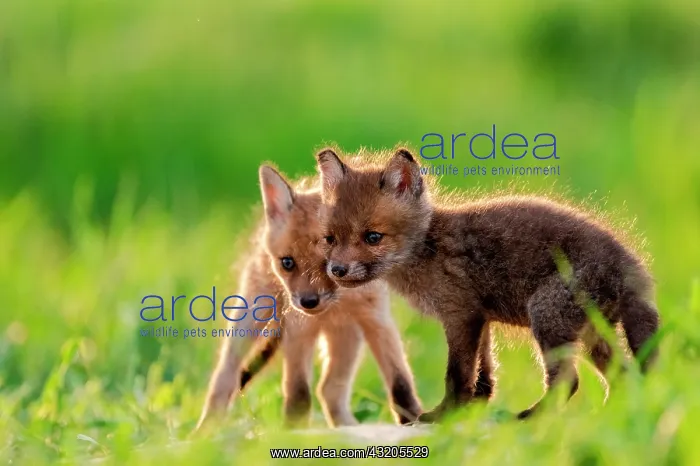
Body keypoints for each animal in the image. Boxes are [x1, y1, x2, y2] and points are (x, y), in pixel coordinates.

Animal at [196, 165, 422, 430]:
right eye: (287, 263)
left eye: (328, 264)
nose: (308, 302)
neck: (340, 302)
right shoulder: (298, 328)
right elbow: (299, 394)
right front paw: (291, 430)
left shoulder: (377, 320)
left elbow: (401, 384)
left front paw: (415, 420)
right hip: (250, 320)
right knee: (225, 378)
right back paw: (204, 430)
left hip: (347, 337)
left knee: (329, 389)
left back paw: (346, 426)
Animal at [314, 147, 661, 421]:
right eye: (330, 239)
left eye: (373, 237)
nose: (337, 270)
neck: (428, 247)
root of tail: (629, 263)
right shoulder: (480, 318)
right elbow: (483, 377)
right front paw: (472, 412)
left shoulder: (461, 314)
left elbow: (457, 375)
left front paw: (443, 416)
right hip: (590, 335)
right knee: (623, 376)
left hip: (547, 317)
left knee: (569, 380)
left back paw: (528, 418)